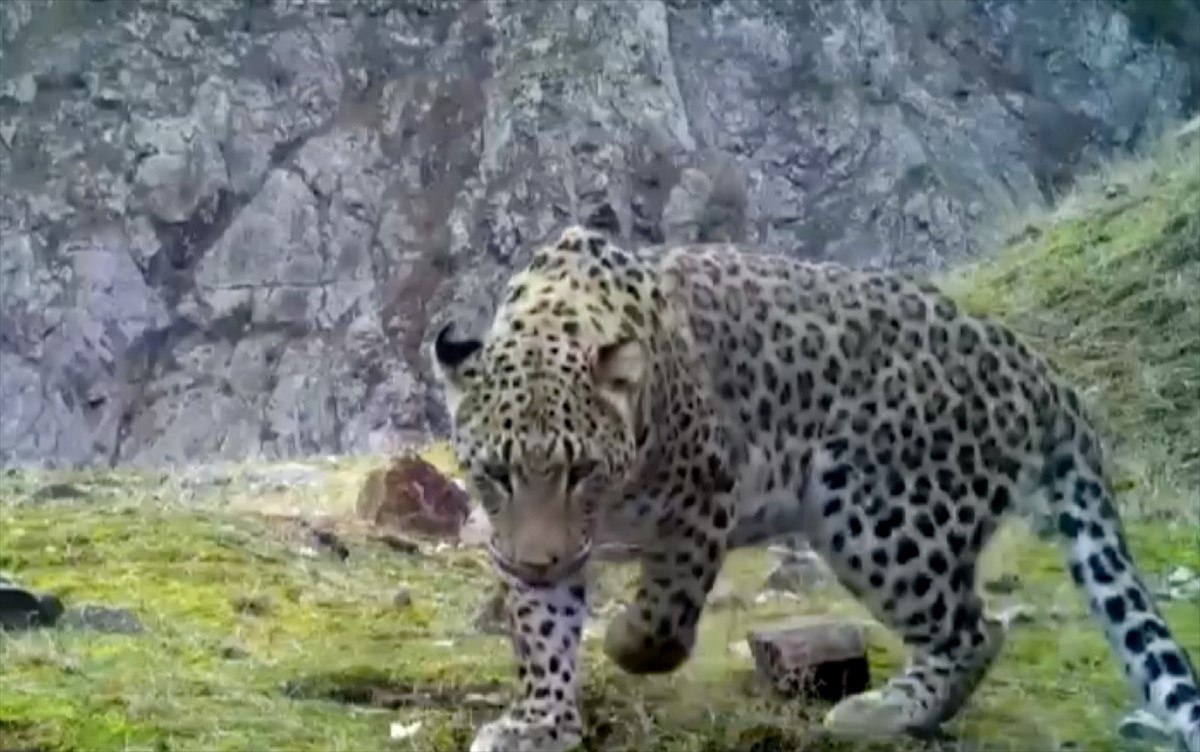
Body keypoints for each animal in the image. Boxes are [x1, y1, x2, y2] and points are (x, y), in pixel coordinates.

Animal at [431, 224, 1200, 752]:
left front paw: (625, 643)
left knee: (975, 630)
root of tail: (1033, 368)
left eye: (583, 471)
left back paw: (884, 712)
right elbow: (542, 634)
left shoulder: (706, 494)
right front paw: (539, 723)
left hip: (883, 518)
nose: (542, 559)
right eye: (496, 474)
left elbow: (663, 613)